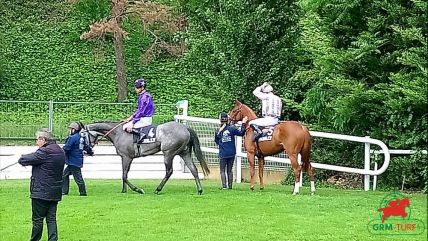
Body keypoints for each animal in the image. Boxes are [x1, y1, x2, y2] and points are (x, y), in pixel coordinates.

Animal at [81, 121, 210, 195]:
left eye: (83, 136)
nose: (87, 151)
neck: (119, 133)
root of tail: (185, 128)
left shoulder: (127, 157)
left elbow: (124, 175)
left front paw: (138, 189)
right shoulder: (123, 157)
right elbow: (123, 174)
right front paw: (124, 190)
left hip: (168, 153)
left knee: (169, 171)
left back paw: (158, 189)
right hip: (184, 153)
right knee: (193, 169)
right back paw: (199, 190)